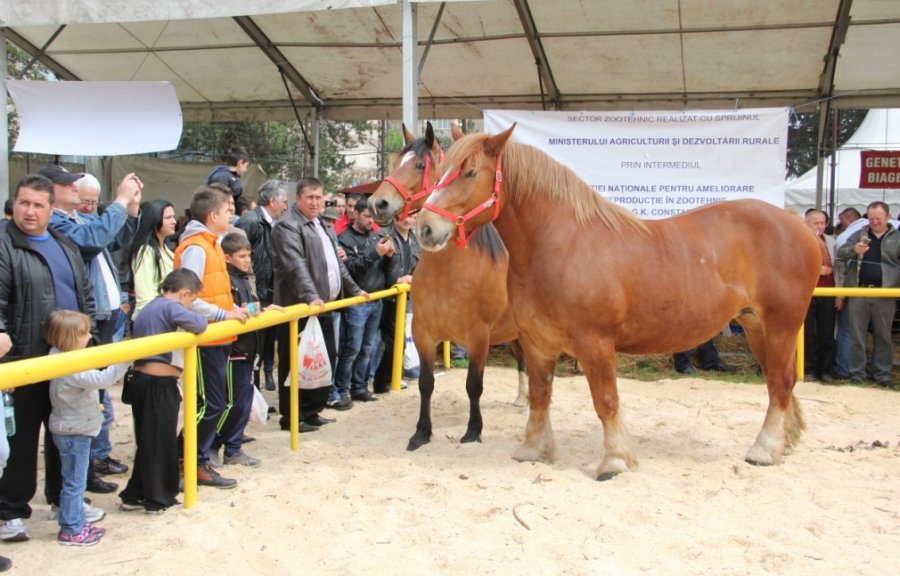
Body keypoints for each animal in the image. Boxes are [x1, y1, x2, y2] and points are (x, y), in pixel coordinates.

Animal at [369, 122, 527, 452]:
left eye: (419, 165)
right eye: (395, 162)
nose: (377, 204)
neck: (451, 274)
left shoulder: (479, 338)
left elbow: (474, 385)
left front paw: (473, 430)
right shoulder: (423, 333)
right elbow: (425, 383)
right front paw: (421, 432)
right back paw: (523, 398)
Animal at [416, 125, 820, 480]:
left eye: (469, 172)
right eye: (440, 171)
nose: (424, 228)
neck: (563, 244)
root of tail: (800, 226)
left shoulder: (595, 344)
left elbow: (606, 401)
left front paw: (615, 461)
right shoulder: (537, 343)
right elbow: (540, 395)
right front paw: (534, 450)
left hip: (781, 326)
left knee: (781, 382)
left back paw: (764, 450)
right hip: (755, 326)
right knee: (777, 382)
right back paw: (784, 442)